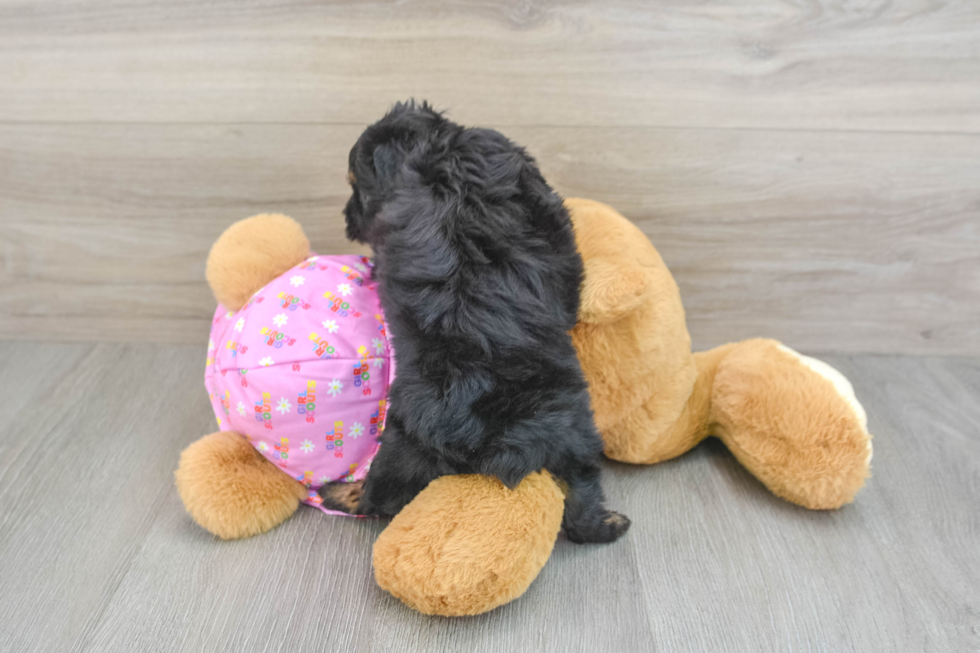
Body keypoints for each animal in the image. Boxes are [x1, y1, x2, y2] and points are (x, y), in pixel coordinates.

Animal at [318, 100, 632, 540]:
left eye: (355, 187)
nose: (348, 217)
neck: (433, 149)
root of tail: (481, 436)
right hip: (572, 427)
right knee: (581, 492)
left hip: (405, 445)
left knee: (377, 496)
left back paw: (338, 493)